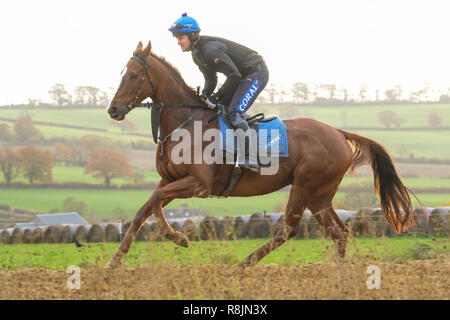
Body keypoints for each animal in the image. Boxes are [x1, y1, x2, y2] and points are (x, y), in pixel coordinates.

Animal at [105, 41, 414, 268]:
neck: (186, 122)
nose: (113, 110)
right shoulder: (169, 180)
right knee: (339, 231)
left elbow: (156, 201)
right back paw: (336, 271)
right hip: (321, 194)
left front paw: (177, 237)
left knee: (287, 230)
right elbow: (143, 210)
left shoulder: (199, 185)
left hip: (305, 185)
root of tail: (338, 133)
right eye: (122, 74)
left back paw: (243, 265)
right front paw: (114, 261)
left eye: (133, 75)